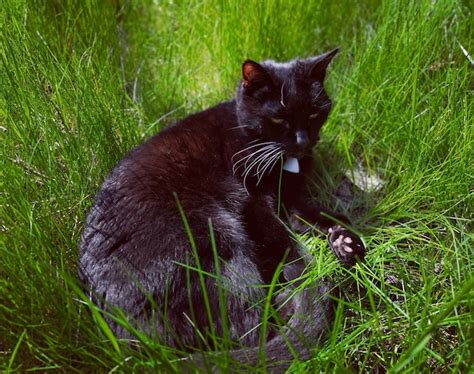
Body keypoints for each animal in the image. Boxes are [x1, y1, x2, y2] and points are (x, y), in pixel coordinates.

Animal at [78, 49, 366, 372]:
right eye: (279, 118)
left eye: (315, 114)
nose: (304, 142)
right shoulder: (254, 201)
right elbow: (285, 240)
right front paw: (306, 271)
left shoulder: (292, 201)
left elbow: (323, 216)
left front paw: (346, 241)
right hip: (217, 237)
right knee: (249, 329)